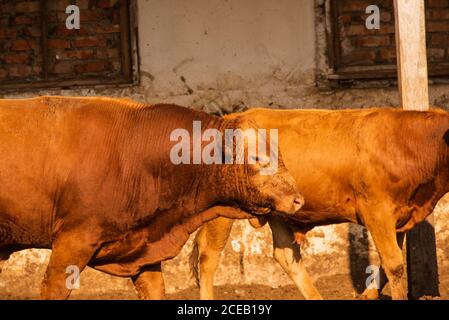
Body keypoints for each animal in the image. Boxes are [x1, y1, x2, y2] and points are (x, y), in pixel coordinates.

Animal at [162, 107, 449, 300]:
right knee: (209, 256)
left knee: (286, 255)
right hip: (223, 213)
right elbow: (394, 265)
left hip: (278, 210)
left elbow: (387, 263)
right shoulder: (377, 211)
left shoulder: (400, 215)